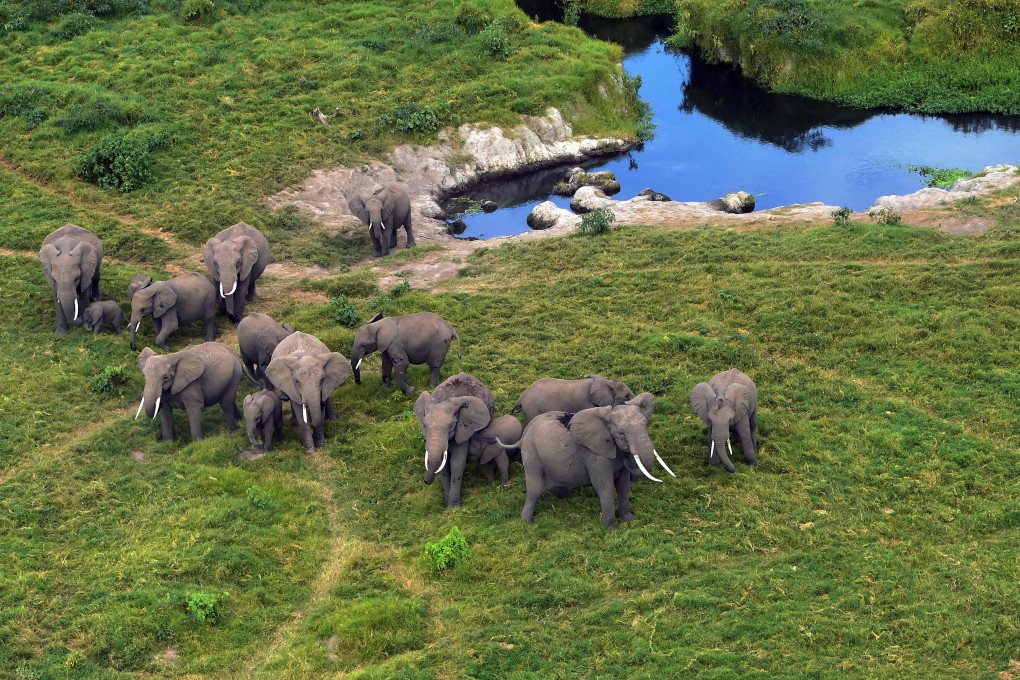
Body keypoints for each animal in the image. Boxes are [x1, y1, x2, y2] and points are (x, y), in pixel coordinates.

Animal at [413, 373, 494, 508]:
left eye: (451, 426)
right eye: (425, 425)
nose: (425, 481)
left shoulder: (463, 429)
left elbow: (457, 463)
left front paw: (454, 508)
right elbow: (444, 466)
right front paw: (447, 505)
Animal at [513, 393, 675, 529]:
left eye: (645, 425)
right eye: (621, 434)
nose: (629, 454)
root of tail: (525, 432)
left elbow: (623, 485)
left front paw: (628, 521)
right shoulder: (595, 455)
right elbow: (605, 486)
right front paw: (610, 530)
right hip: (531, 453)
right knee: (535, 489)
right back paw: (527, 523)